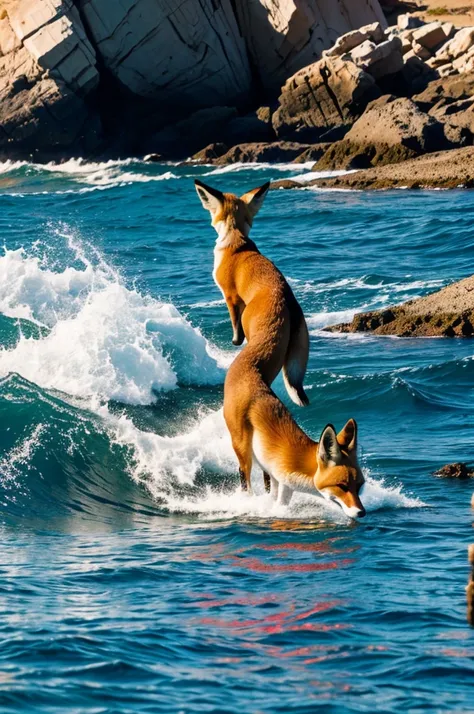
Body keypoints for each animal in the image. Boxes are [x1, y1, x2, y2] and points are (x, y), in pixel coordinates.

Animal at [223, 348, 366, 516]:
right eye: (342, 486)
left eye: (359, 486)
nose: (361, 512)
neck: (303, 468)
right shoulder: (285, 483)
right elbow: (279, 505)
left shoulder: (276, 476)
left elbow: (272, 495)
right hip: (242, 449)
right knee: (243, 474)